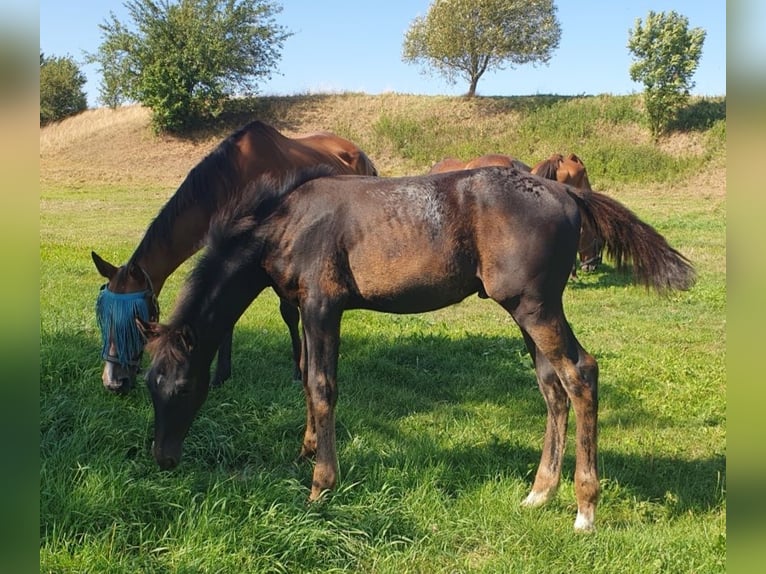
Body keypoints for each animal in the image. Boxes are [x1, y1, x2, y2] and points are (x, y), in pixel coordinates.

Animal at [92, 121, 378, 394]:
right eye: (103, 318)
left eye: (134, 319)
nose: (113, 382)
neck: (236, 179)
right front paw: (221, 375)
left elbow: (288, 313)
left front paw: (299, 370)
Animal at [138, 166, 695, 532]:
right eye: (149, 386)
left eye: (184, 387)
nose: (163, 459)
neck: (287, 221)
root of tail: (564, 190)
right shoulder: (305, 309)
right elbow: (305, 377)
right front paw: (306, 450)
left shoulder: (323, 304)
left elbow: (321, 385)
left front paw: (321, 487)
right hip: (526, 310)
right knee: (552, 388)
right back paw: (539, 493)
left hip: (536, 307)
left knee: (581, 373)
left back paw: (584, 509)